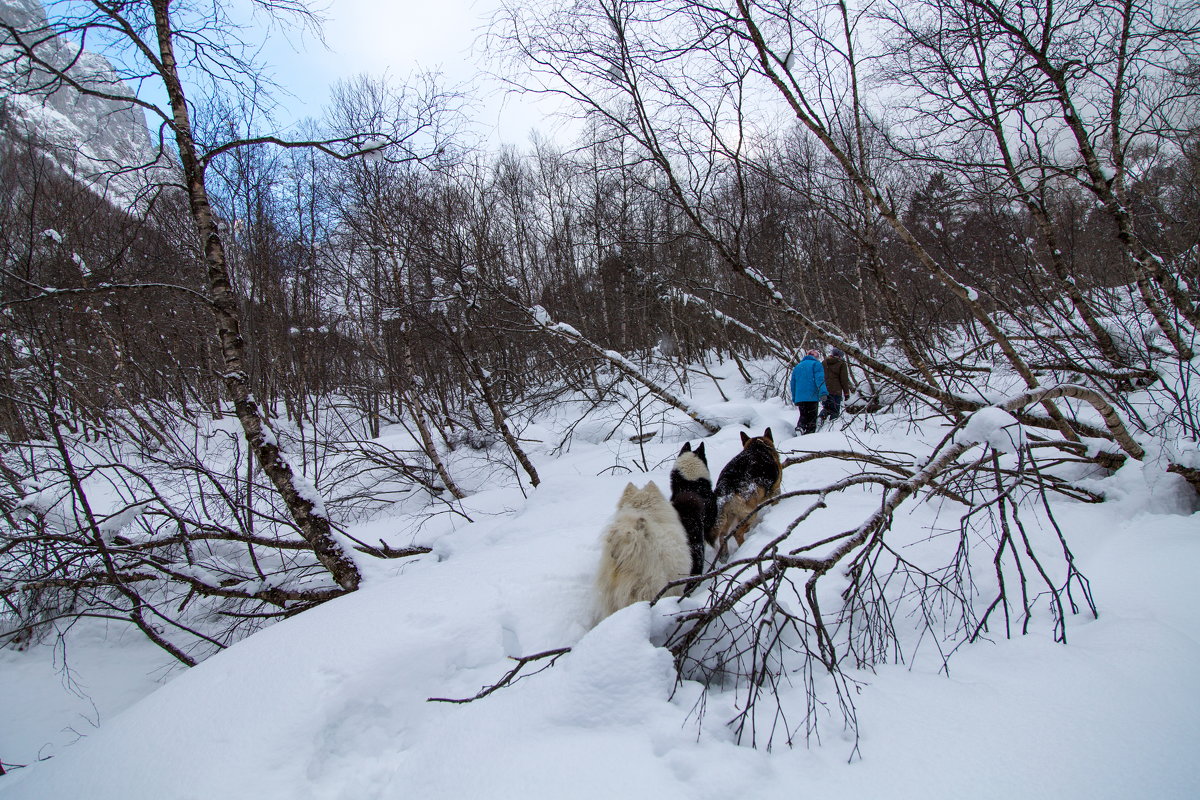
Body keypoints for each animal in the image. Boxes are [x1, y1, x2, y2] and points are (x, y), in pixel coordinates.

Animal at [705, 429, 782, 561]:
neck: (758, 445)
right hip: (750, 514)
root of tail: (725, 488)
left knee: (723, 535)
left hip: (729, 516)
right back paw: (743, 546)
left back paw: (724, 555)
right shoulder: (776, 490)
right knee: (737, 533)